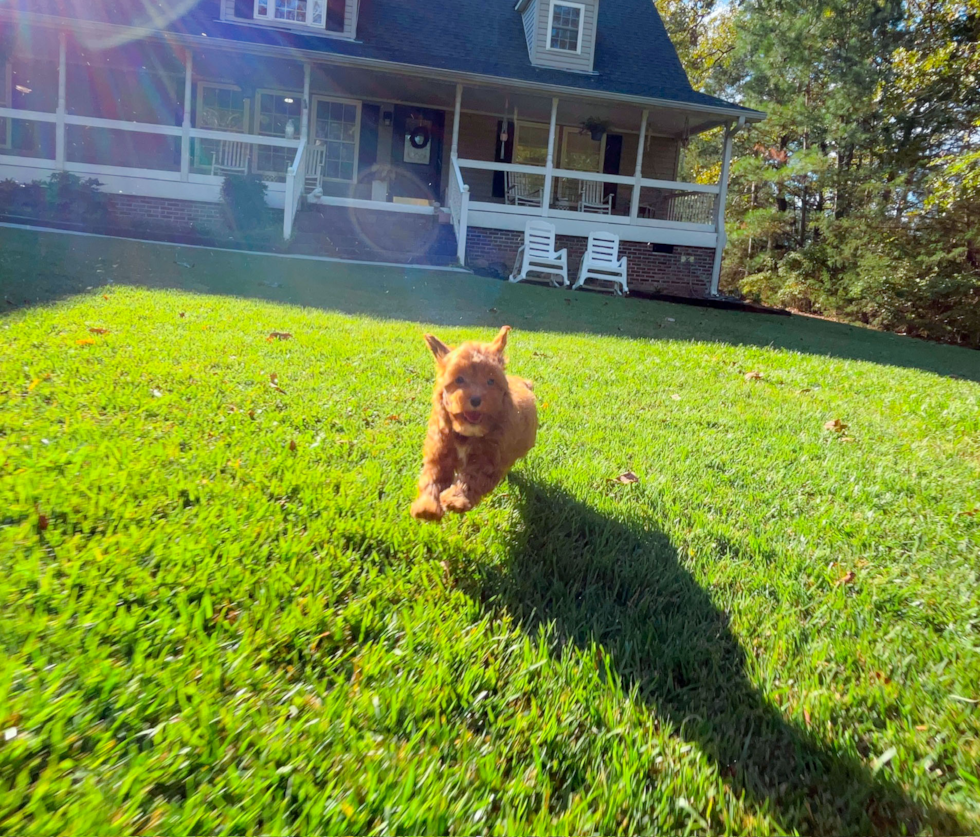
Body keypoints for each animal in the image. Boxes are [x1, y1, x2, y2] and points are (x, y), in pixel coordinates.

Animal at [412, 324, 540, 516]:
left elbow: (472, 479)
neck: (466, 433)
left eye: (490, 381)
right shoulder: (440, 450)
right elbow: (433, 475)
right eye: (459, 379)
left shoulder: (488, 460)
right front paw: (426, 507)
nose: (475, 399)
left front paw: (455, 499)